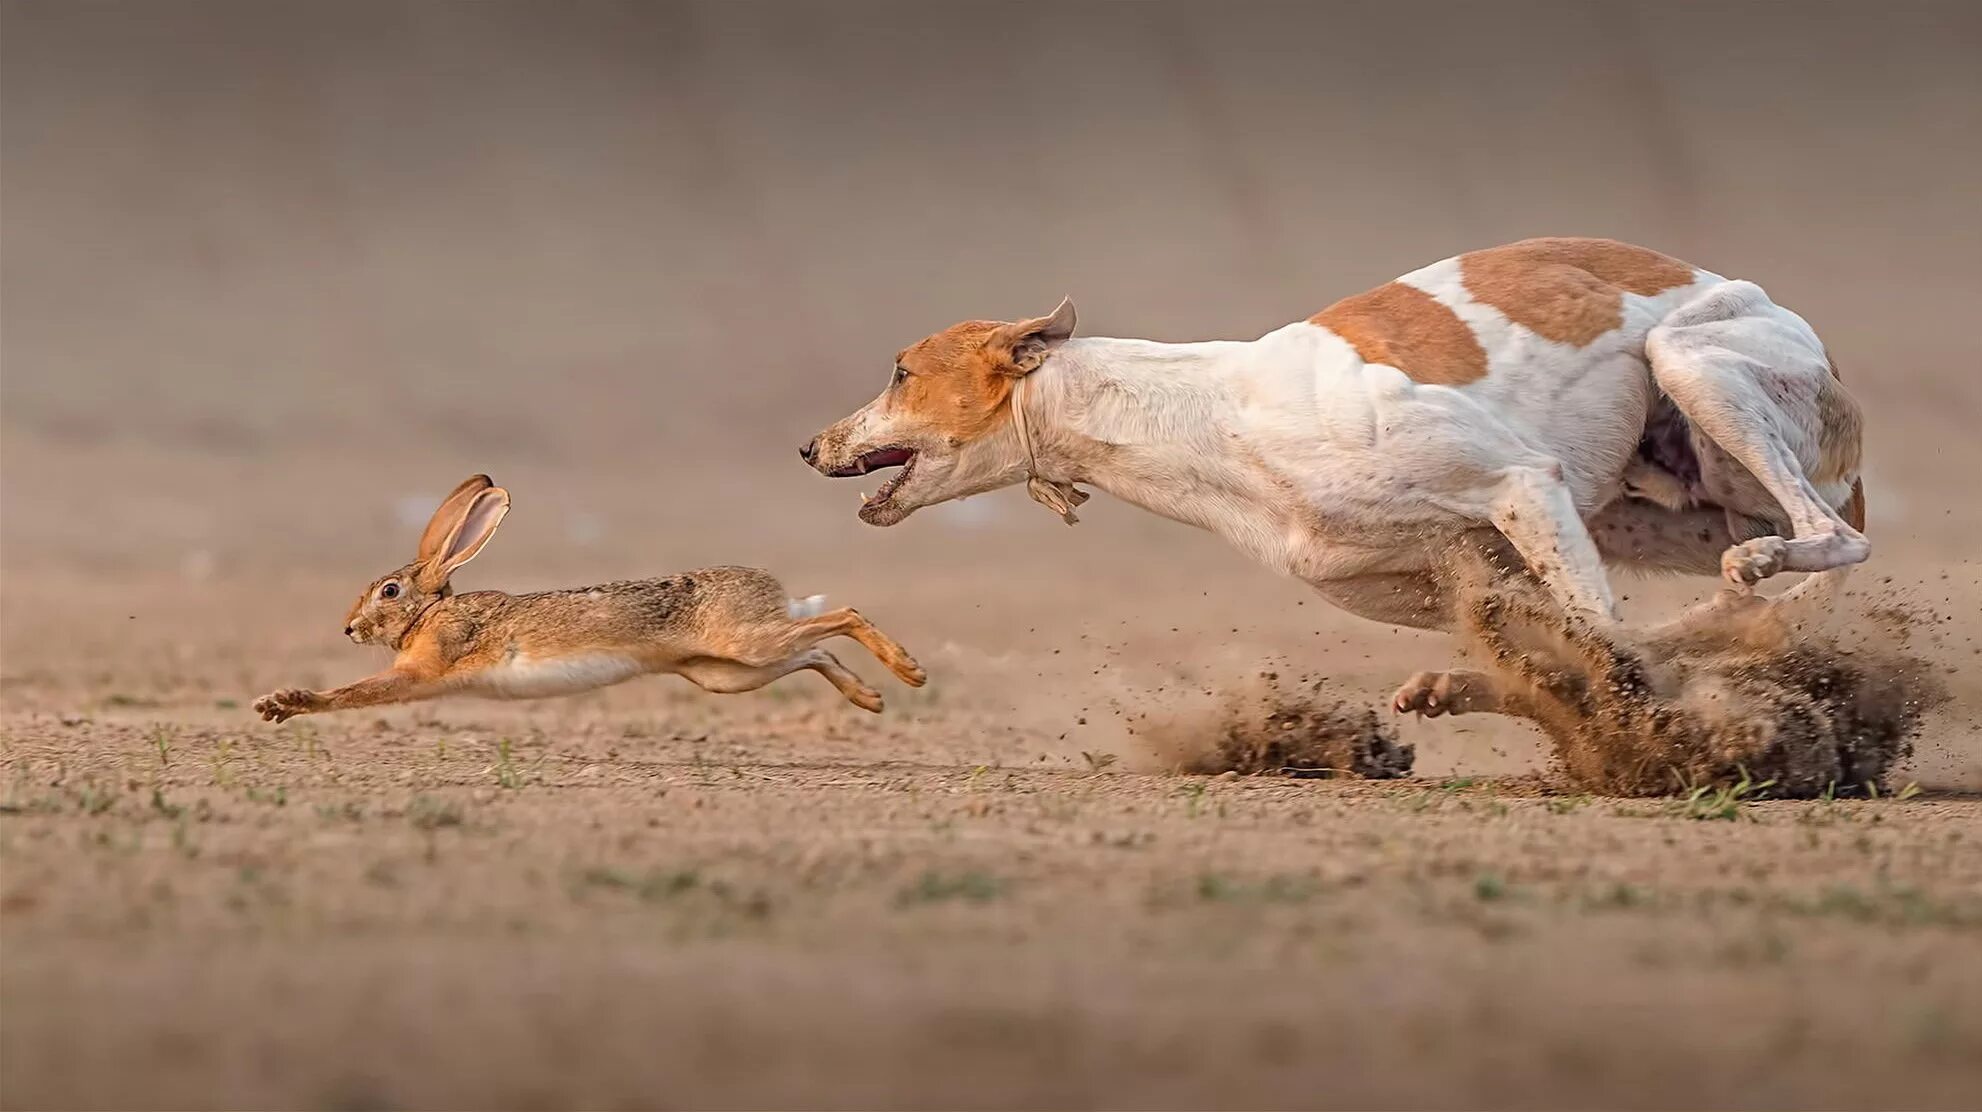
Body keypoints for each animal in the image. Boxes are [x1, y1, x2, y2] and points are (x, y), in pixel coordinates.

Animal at [796, 237, 1863, 713]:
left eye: (901, 371)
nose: (810, 448)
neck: (1214, 414)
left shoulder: (1522, 482)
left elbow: (1598, 639)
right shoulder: (1461, 570)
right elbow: (1568, 644)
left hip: (1696, 368)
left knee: (1833, 539)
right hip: (1650, 512)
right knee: (1719, 603)